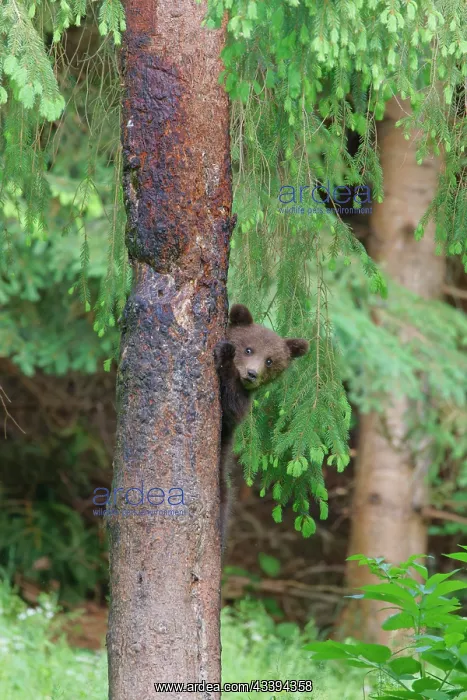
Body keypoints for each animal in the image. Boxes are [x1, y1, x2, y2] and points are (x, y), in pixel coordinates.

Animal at [214, 303, 309, 548]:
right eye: (249, 349)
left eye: (270, 361)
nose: (251, 374)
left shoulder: (238, 407)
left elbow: (231, 406)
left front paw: (225, 356)